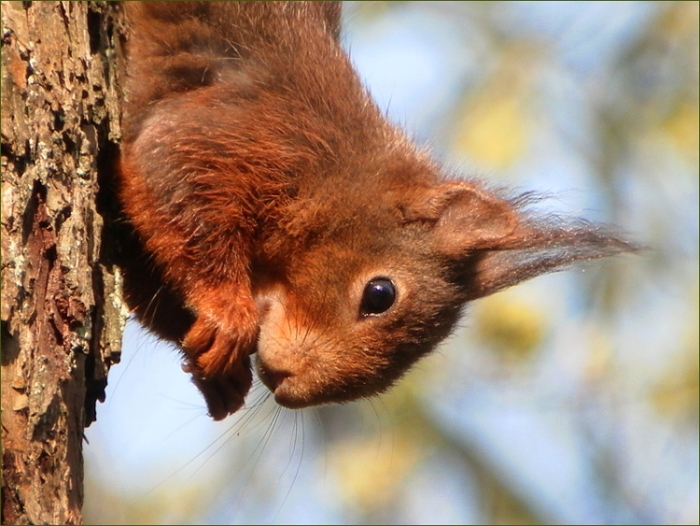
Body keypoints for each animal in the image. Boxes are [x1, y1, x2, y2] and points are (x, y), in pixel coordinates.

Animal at [116, 2, 635, 421]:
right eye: (380, 294)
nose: (291, 389)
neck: (338, 177)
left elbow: (143, 279)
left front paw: (223, 379)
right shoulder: (240, 131)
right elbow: (170, 172)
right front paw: (228, 315)